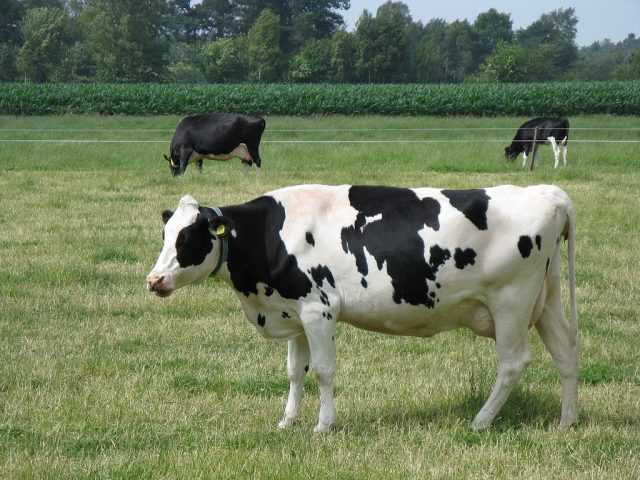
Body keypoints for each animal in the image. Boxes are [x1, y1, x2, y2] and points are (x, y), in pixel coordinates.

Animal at [146, 184, 580, 432]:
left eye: (187, 238)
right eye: (165, 234)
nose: (153, 280)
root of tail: (548, 192)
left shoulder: (318, 309)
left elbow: (322, 370)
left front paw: (323, 425)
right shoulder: (294, 311)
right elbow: (294, 372)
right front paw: (287, 421)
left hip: (512, 301)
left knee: (513, 363)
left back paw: (481, 421)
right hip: (546, 299)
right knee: (565, 351)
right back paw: (567, 422)